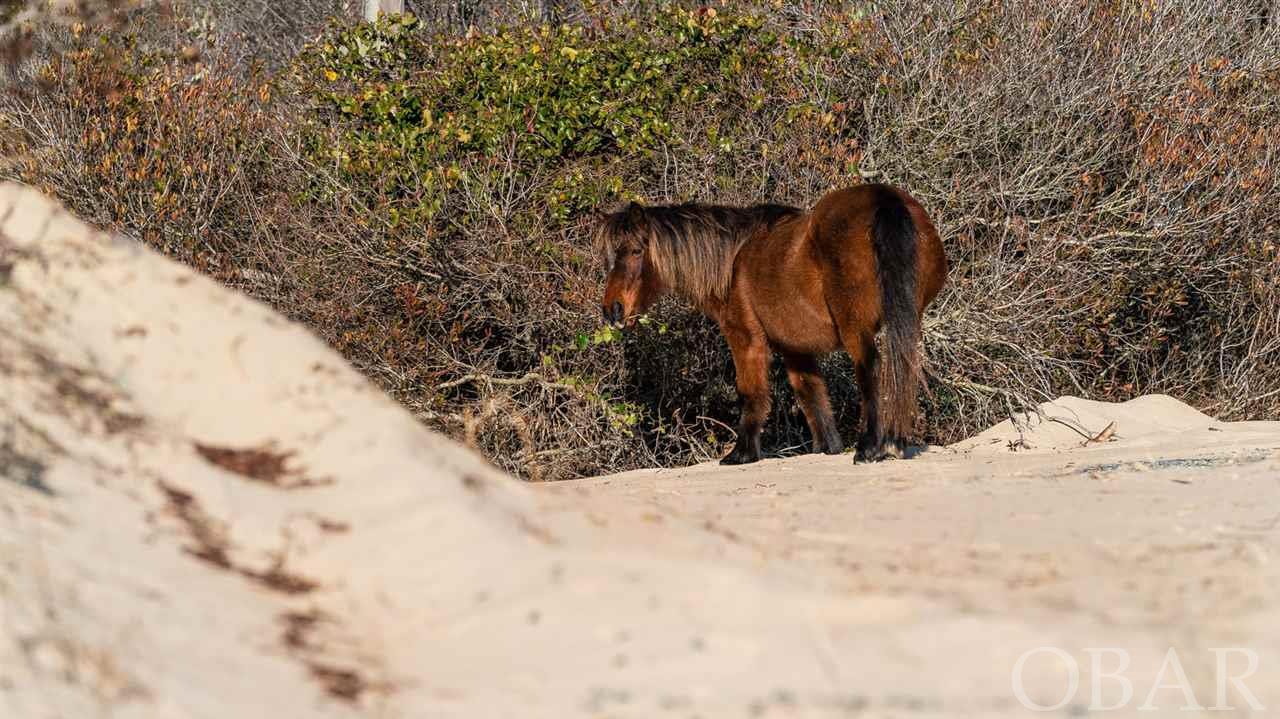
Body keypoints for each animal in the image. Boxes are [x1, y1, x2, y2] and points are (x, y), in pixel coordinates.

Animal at [593, 182, 947, 465]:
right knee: (902, 365)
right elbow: (811, 394)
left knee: (870, 370)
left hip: (855, 328)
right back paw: (894, 442)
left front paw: (742, 453)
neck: (733, 261)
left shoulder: (745, 337)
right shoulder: (795, 348)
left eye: (636, 250)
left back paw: (871, 447)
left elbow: (751, 391)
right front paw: (827, 447)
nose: (613, 309)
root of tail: (883, 197)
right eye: (610, 257)